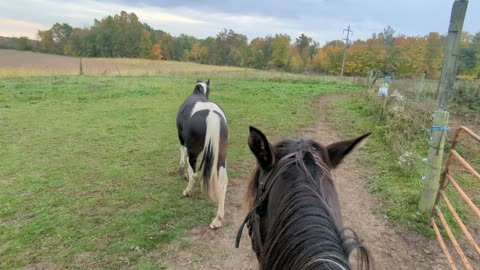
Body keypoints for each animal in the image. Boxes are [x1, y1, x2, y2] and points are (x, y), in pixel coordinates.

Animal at [176, 80, 229, 230]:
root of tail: (211, 116)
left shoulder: (182, 139)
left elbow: (184, 154)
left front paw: (183, 171)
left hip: (194, 149)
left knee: (194, 171)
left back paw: (187, 191)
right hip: (221, 157)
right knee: (223, 181)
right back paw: (217, 219)